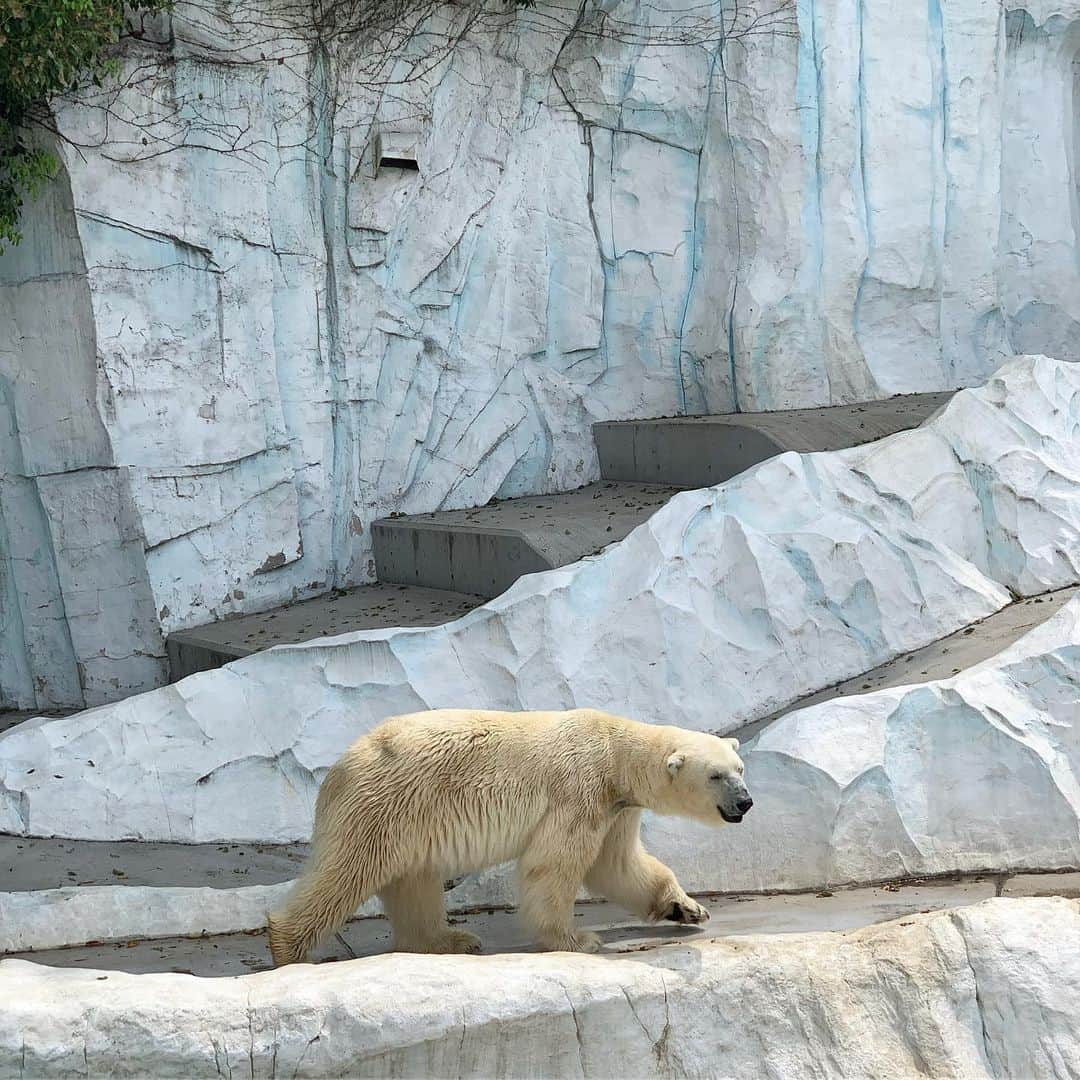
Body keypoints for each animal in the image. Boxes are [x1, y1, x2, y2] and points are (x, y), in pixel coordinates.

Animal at [267, 708, 751, 963]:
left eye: (740, 768)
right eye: (715, 775)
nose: (746, 802)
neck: (614, 751)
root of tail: (339, 768)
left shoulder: (616, 808)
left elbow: (617, 866)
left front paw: (687, 908)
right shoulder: (579, 792)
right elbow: (553, 867)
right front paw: (578, 941)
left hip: (409, 818)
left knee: (414, 881)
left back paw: (448, 941)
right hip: (383, 803)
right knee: (347, 871)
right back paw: (286, 948)